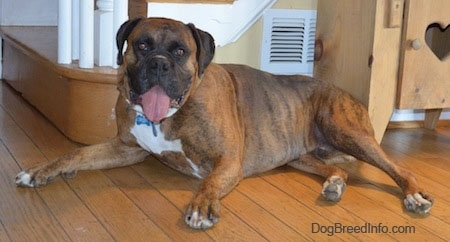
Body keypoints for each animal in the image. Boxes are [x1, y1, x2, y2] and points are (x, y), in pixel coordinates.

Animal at [15, 18, 434, 230]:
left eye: (180, 51)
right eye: (142, 45)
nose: (158, 65)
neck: (172, 113)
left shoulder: (228, 161)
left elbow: (210, 182)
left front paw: (201, 207)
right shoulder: (125, 149)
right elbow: (76, 154)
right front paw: (41, 171)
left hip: (346, 130)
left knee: (399, 168)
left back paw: (414, 195)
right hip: (301, 155)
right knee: (338, 170)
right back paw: (333, 184)